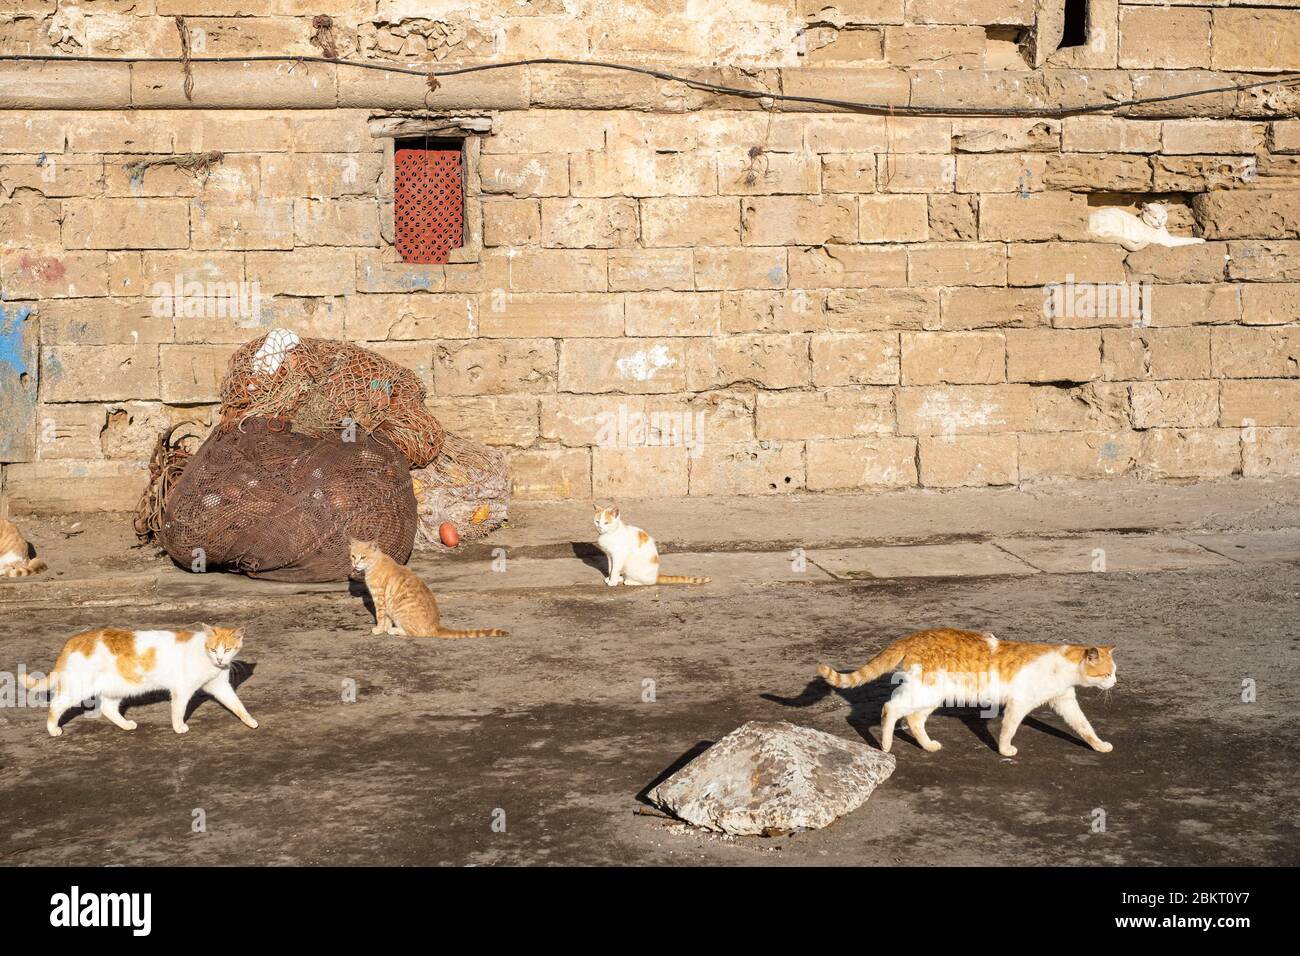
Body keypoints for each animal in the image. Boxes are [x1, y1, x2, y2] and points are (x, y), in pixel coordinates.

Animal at [20, 624, 257, 738]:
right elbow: (178, 711)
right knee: (56, 705)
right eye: (213, 649)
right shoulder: (182, 690)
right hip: (78, 689)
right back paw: (53, 729)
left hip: (118, 688)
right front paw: (179, 727)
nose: (220, 659)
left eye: (227, 649)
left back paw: (126, 725)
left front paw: (250, 721)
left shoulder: (221, 687)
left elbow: (237, 705)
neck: (206, 658)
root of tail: (75, 639)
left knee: (108, 709)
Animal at [351, 541, 506, 639]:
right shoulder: (386, 603)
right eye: (353, 556)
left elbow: (380, 616)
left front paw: (379, 629)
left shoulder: (380, 599)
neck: (375, 563)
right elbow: (387, 618)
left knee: (415, 633)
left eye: (363, 557)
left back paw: (394, 630)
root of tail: (436, 626)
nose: (355, 564)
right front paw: (382, 628)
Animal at [821, 632, 1118, 759]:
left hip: (933, 696)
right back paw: (885, 745)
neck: (1063, 666)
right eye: (1106, 674)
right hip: (925, 691)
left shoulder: (1065, 701)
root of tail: (916, 635)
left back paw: (928, 746)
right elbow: (1009, 729)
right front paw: (1005, 750)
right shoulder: (1019, 704)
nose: (1115, 682)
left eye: (1114, 672)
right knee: (889, 708)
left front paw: (1099, 745)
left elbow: (1084, 726)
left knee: (914, 720)